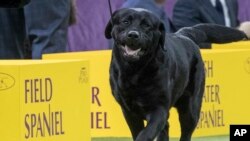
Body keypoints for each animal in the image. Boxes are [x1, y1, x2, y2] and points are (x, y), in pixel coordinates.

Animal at [104, 8, 247, 141]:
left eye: (147, 25)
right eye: (125, 22)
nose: (133, 35)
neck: (136, 71)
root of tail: (185, 34)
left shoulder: (159, 108)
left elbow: (147, 132)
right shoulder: (129, 112)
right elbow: (140, 132)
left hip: (191, 108)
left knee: (185, 133)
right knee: (166, 127)